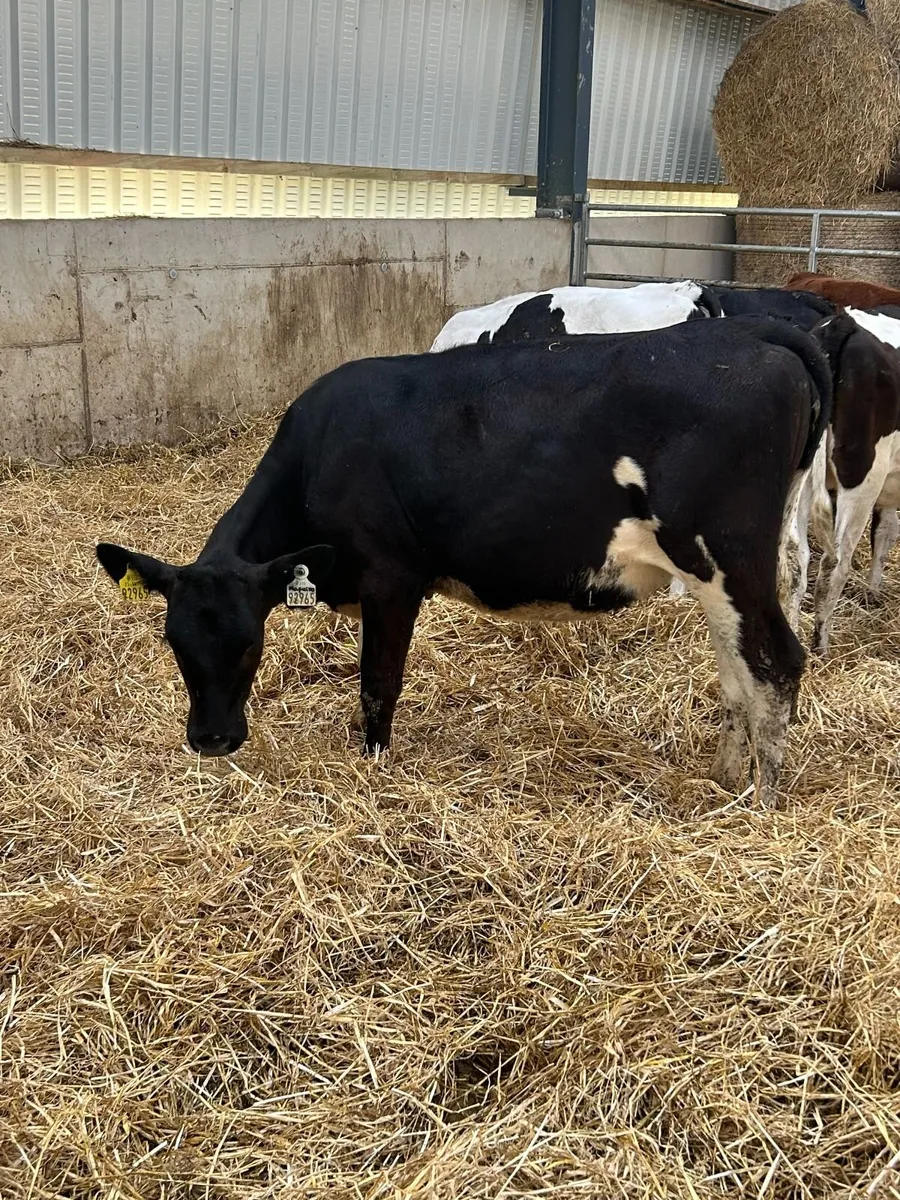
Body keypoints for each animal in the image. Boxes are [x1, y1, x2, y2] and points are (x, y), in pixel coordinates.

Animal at [96, 316, 833, 808]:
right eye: (174, 643)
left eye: (251, 643)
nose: (212, 740)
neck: (317, 452)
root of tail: (757, 336)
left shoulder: (391, 576)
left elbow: (377, 684)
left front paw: (373, 768)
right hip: (729, 573)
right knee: (739, 671)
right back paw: (726, 778)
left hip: (727, 555)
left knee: (776, 662)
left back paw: (763, 804)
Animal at [783, 308, 900, 656]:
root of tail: (841, 323)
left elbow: (884, 532)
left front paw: (873, 594)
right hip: (862, 474)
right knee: (835, 564)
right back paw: (821, 647)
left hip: (804, 475)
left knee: (796, 558)